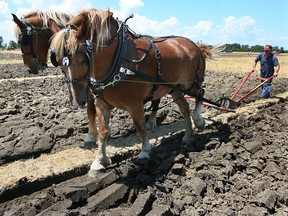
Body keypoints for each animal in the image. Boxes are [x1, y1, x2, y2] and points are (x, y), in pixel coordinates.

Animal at [50, 8, 215, 177]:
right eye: (58, 61)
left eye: (83, 59)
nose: (77, 101)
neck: (118, 58)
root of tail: (196, 46)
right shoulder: (102, 103)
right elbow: (103, 132)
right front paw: (99, 161)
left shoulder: (135, 104)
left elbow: (140, 126)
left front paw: (145, 151)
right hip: (175, 89)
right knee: (184, 108)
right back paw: (188, 135)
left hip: (191, 84)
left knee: (200, 94)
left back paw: (199, 121)